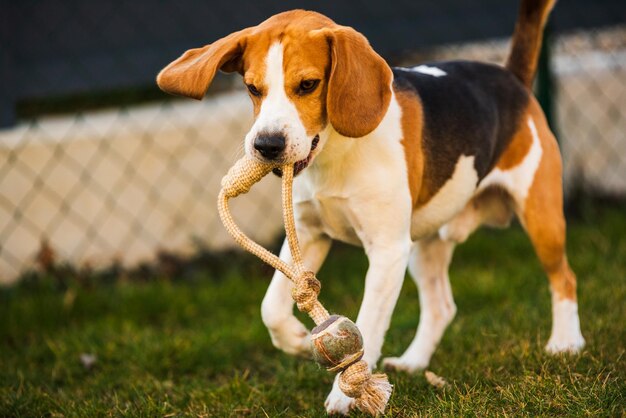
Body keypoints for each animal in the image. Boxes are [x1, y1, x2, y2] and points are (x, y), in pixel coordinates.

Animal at [155, 0, 580, 412]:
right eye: (252, 88)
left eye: (307, 85)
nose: (267, 145)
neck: (333, 153)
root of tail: (512, 79)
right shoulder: (308, 235)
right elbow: (270, 308)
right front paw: (297, 340)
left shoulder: (387, 250)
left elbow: (370, 324)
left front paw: (347, 394)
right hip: (424, 244)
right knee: (441, 306)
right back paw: (413, 363)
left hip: (540, 218)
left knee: (564, 278)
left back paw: (565, 344)